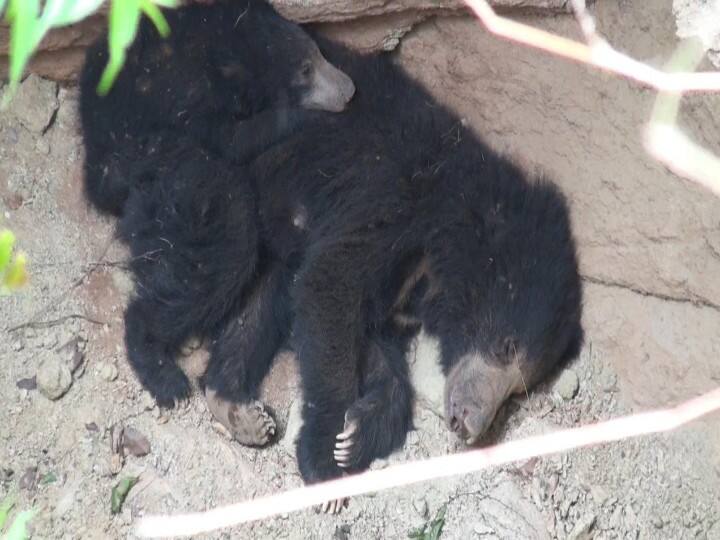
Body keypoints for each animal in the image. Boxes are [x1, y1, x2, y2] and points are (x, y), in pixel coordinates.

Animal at [79, 0, 354, 215]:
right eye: (306, 70)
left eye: (317, 52)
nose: (348, 90)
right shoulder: (188, 99)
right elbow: (233, 141)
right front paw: (313, 117)